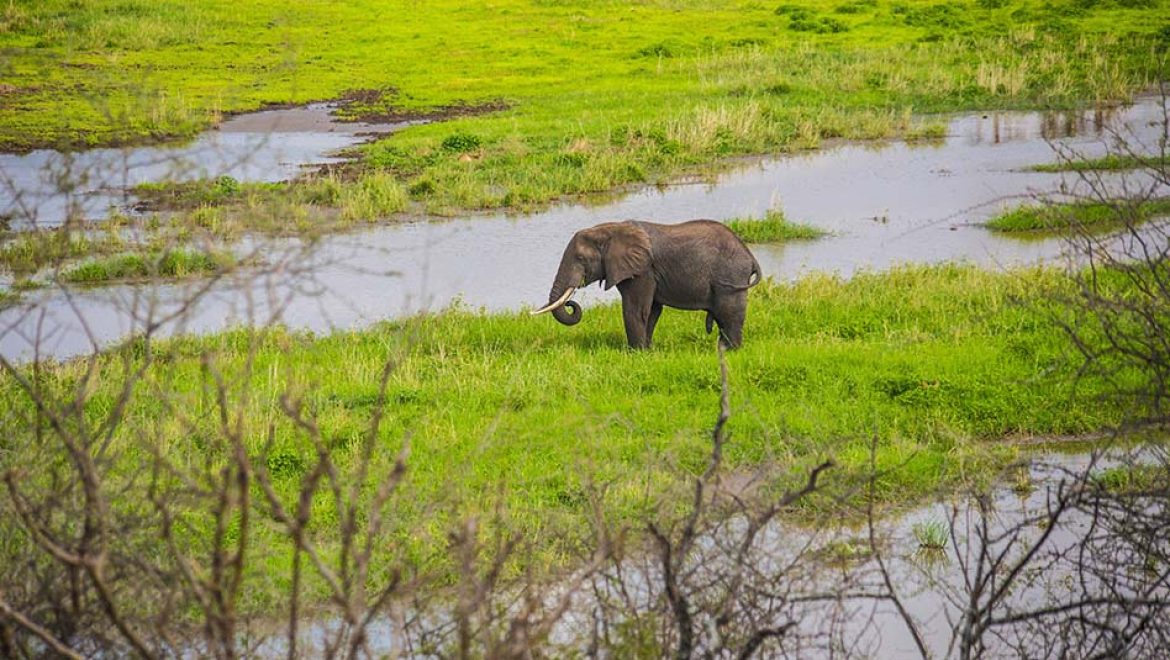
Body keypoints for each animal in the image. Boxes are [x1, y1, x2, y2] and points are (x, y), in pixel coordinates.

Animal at [528, 218, 758, 348]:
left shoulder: (642, 270)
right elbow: (652, 311)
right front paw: (646, 350)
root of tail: (750, 255)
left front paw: (635, 352)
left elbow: (636, 309)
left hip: (731, 276)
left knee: (729, 312)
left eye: (581, 259)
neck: (609, 229)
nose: (571, 302)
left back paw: (731, 350)